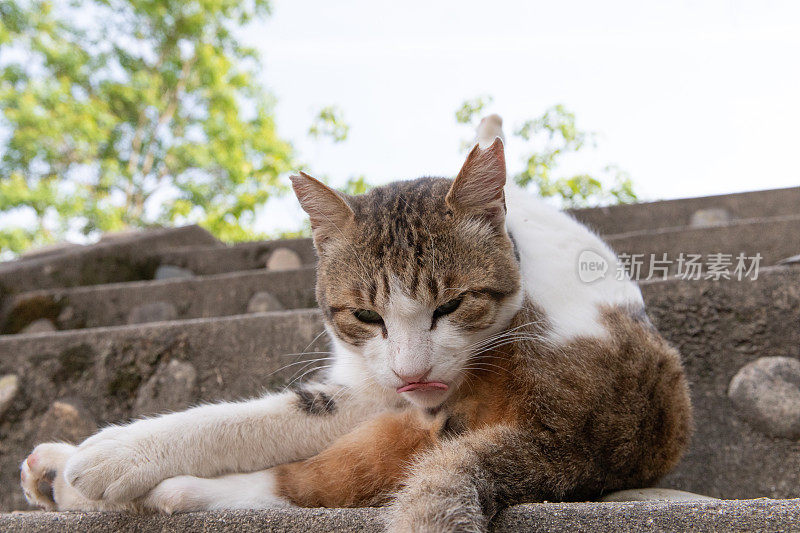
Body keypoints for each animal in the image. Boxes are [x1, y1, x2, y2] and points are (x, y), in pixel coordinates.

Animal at [21, 117, 692, 532]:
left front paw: (117, 453)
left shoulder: (388, 393)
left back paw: (119, 487)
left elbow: (259, 418)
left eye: (452, 305)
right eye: (366, 314)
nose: (413, 372)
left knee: (307, 483)